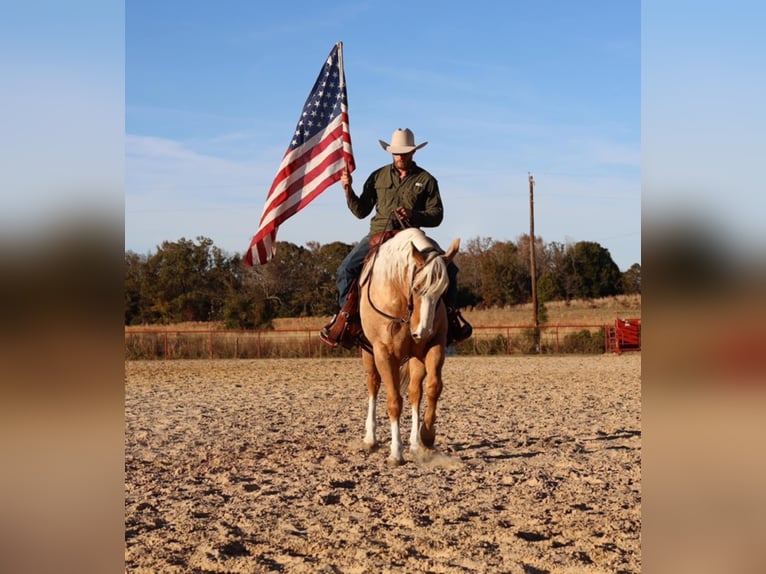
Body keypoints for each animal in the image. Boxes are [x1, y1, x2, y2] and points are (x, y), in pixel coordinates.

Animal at [356, 227, 460, 466]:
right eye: (417, 287)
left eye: (443, 292)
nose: (422, 331)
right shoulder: (384, 353)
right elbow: (394, 401)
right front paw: (396, 452)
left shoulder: (434, 346)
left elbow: (433, 388)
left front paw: (427, 436)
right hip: (369, 353)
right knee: (373, 385)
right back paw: (370, 438)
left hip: (415, 357)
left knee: (415, 393)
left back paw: (415, 443)